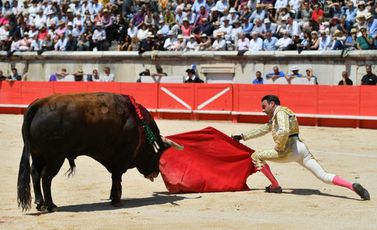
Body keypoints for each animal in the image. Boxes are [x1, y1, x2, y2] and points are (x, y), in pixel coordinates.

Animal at [16, 92, 178, 212]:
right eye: (157, 154)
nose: (155, 172)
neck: (140, 125)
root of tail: (40, 103)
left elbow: (114, 177)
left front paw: (113, 197)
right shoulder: (122, 158)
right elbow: (117, 176)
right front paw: (116, 200)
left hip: (38, 154)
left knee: (35, 173)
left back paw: (40, 203)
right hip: (55, 157)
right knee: (46, 176)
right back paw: (50, 206)